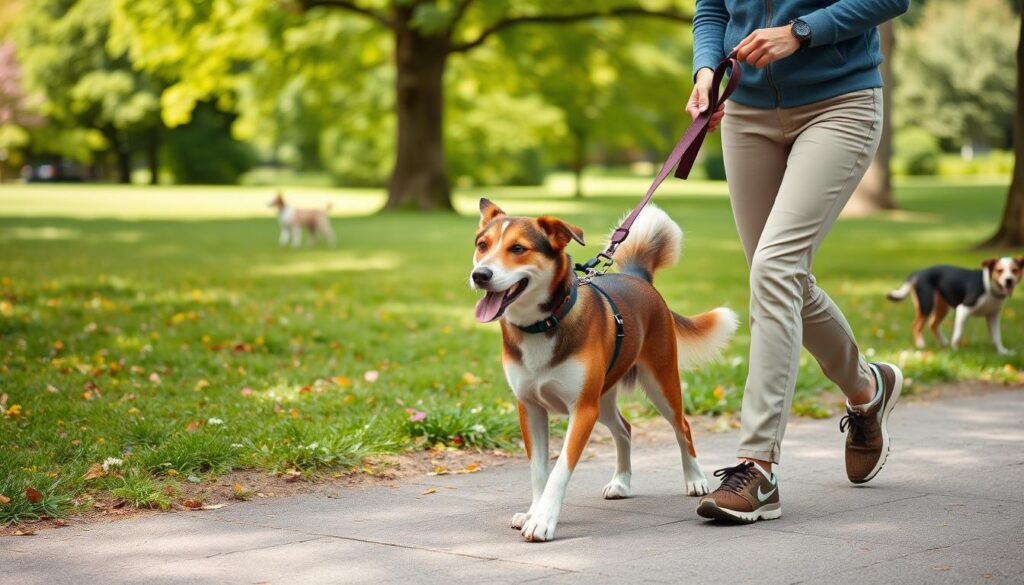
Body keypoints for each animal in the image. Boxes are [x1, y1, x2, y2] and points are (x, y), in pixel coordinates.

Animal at [471, 198, 737, 540]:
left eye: (518, 248)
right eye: (482, 245)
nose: (480, 274)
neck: (543, 324)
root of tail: (639, 277)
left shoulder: (583, 409)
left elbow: (559, 470)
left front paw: (543, 520)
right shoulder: (529, 408)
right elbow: (538, 471)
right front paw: (534, 511)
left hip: (660, 382)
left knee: (683, 427)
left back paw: (695, 479)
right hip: (604, 397)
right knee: (624, 429)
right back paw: (621, 482)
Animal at [884, 257, 1019, 356]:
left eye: (1015, 270)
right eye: (999, 270)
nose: (1009, 280)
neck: (989, 287)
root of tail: (917, 273)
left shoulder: (993, 316)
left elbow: (996, 337)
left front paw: (1002, 352)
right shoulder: (963, 309)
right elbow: (958, 334)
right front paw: (955, 350)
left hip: (942, 308)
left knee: (933, 325)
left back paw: (943, 343)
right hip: (926, 305)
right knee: (916, 325)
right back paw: (921, 344)